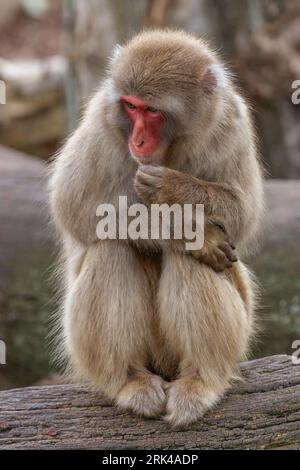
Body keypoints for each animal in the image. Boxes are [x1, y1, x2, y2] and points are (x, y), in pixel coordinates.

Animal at [50, 28, 264, 426]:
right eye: (130, 107)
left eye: (152, 110)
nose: (137, 140)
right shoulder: (102, 121)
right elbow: (73, 204)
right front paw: (183, 229)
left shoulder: (232, 120)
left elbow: (243, 211)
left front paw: (174, 189)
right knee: (112, 247)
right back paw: (129, 380)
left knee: (192, 261)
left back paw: (200, 380)